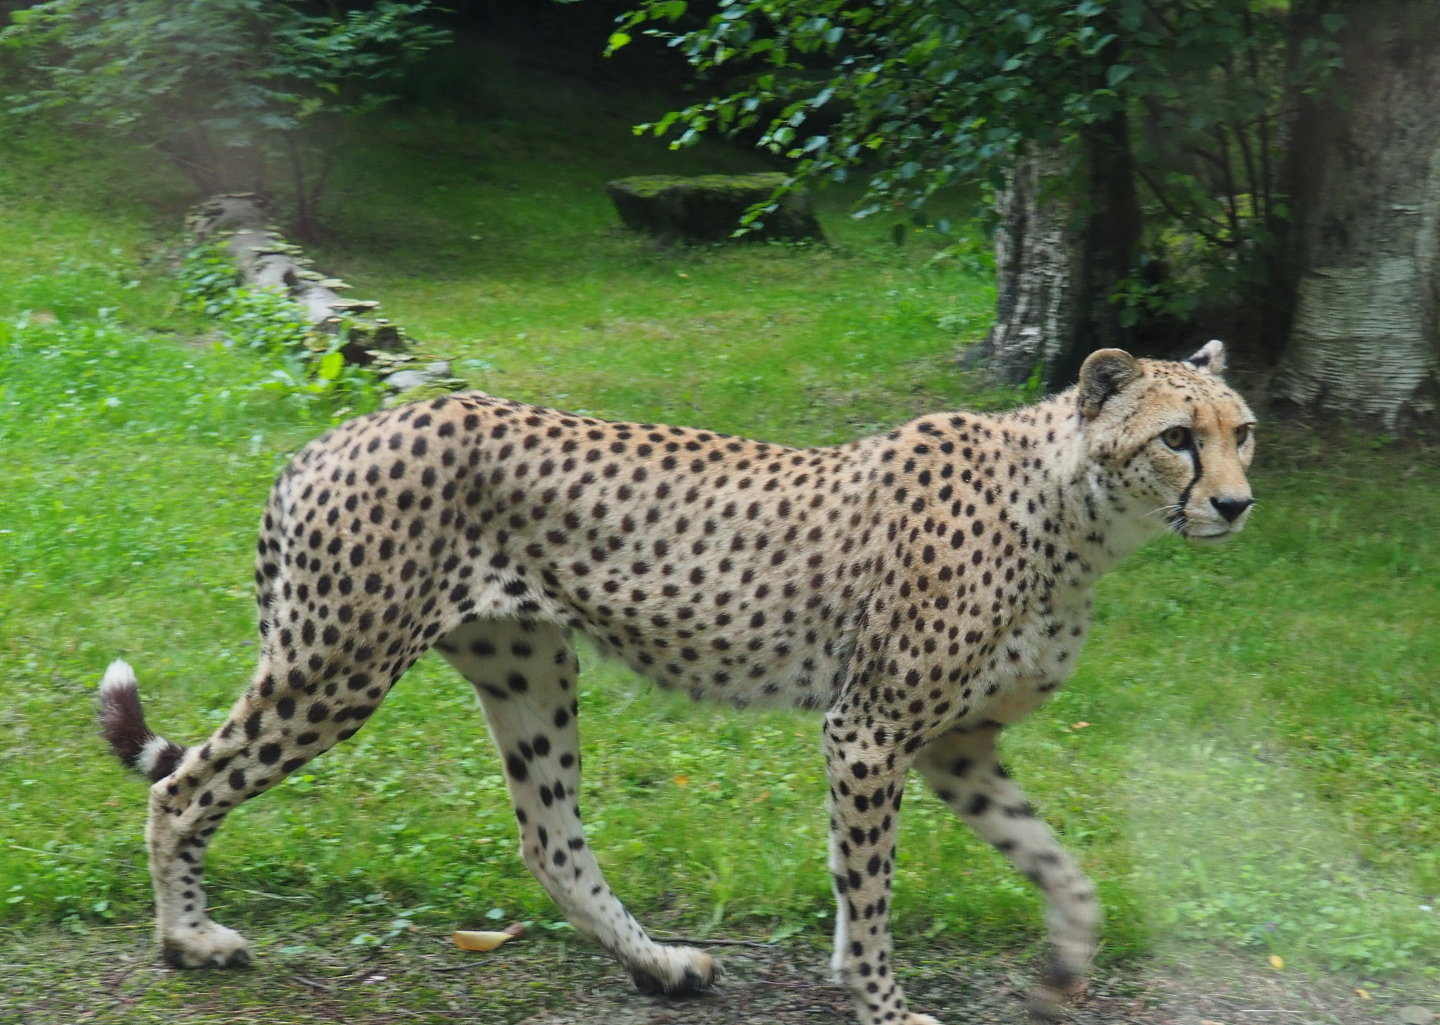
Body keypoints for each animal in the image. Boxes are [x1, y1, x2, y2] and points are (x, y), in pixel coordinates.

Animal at [99, 340, 1255, 1025]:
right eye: (1177, 438)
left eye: (1240, 431)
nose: (1238, 503)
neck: (1076, 515)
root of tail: (332, 435)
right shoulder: (871, 729)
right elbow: (870, 883)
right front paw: (880, 1001)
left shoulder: (952, 744)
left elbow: (1058, 864)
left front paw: (1063, 965)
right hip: (335, 666)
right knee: (184, 785)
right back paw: (188, 938)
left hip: (527, 663)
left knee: (550, 837)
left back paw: (658, 965)